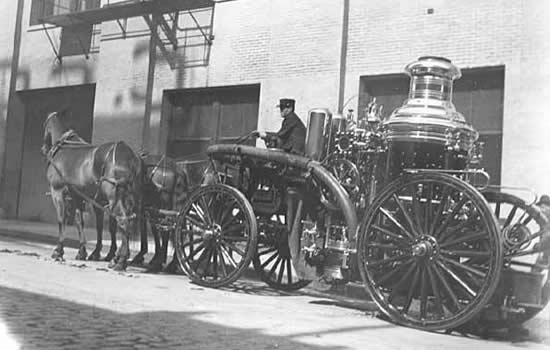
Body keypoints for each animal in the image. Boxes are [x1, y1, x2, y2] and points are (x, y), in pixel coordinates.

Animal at [42, 112, 142, 270]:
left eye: (45, 125)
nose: (43, 149)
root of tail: (129, 155)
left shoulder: (57, 191)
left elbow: (61, 219)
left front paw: (58, 251)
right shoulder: (77, 196)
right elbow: (79, 221)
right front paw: (82, 251)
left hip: (115, 197)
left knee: (123, 221)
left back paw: (120, 261)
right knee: (126, 223)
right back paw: (119, 258)